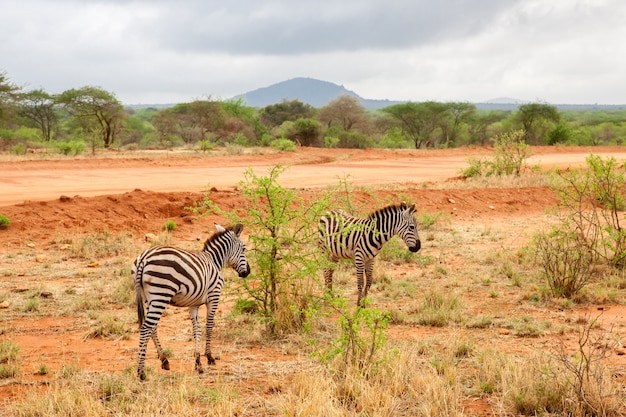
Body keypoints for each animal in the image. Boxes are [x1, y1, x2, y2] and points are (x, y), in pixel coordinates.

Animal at [133, 223, 250, 378]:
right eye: (244, 249)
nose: (247, 272)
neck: (215, 261)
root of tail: (144, 258)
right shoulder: (214, 296)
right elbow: (209, 326)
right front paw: (209, 357)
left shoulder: (193, 304)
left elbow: (197, 330)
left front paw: (198, 362)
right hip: (161, 295)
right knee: (146, 328)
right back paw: (141, 372)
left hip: (148, 298)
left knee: (152, 328)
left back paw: (164, 360)